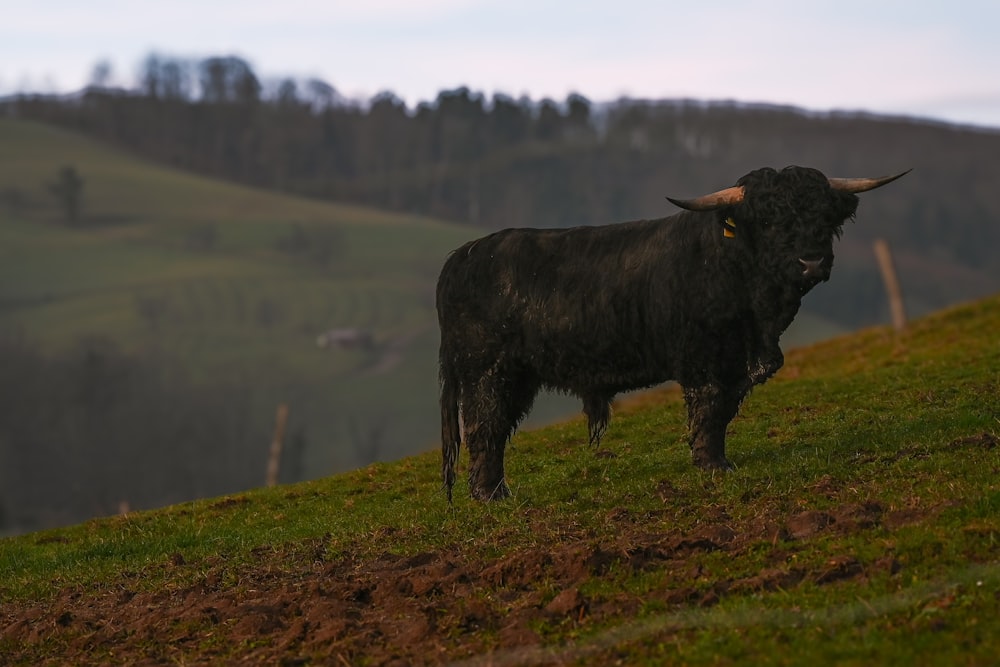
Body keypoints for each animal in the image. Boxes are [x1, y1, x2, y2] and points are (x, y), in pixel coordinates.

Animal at [436, 166, 908, 500]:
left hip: (514, 376)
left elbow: (724, 411)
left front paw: (717, 461)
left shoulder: (737, 363)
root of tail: (463, 255)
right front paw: (711, 466)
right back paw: (492, 495)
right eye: (768, 220)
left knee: (495, 427)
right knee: (484, 426)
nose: (811, 262)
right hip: (487, 371)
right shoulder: (703, 357)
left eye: (823, 216)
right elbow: (708, 408)